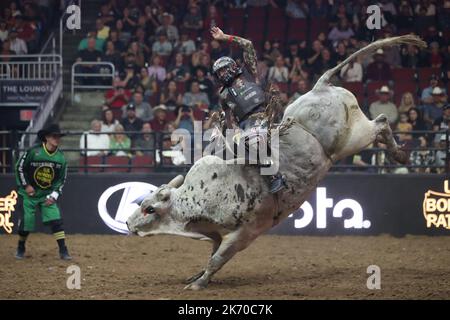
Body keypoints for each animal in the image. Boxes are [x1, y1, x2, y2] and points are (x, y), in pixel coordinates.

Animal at [125, 35, 426, 290]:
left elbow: (217, 259)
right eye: (142, 202)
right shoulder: (218, 234)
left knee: (381, 123)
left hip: (352, 139)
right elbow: (212, 256)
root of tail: (321, 87)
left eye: (149, 208)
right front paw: (197, 276)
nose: (127, 223)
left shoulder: (245, 233)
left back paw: (399, 154)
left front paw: (198, 284)